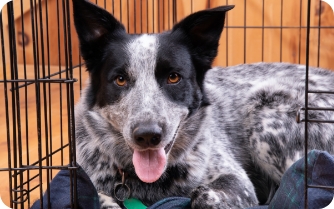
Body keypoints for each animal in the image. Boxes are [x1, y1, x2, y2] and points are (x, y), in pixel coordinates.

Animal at [72, 0, 334, 208]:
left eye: (173, 77)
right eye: (120, 79)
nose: (147, 135)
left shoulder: (238, 181)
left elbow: (203, 195)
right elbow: (98, 198)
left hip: (264, 113)